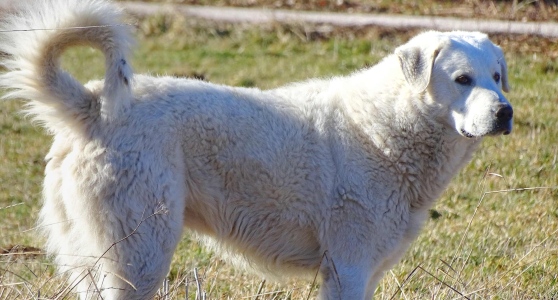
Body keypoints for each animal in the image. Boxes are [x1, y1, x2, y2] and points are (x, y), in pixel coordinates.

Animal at [1, 0, 516, 300]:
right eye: (462, 79)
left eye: (496, 76)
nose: (505, 112)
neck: (390, 125)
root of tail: (93, 106)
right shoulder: (347, 268)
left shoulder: (365, 271)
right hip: (140, 257)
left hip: (95, 259)